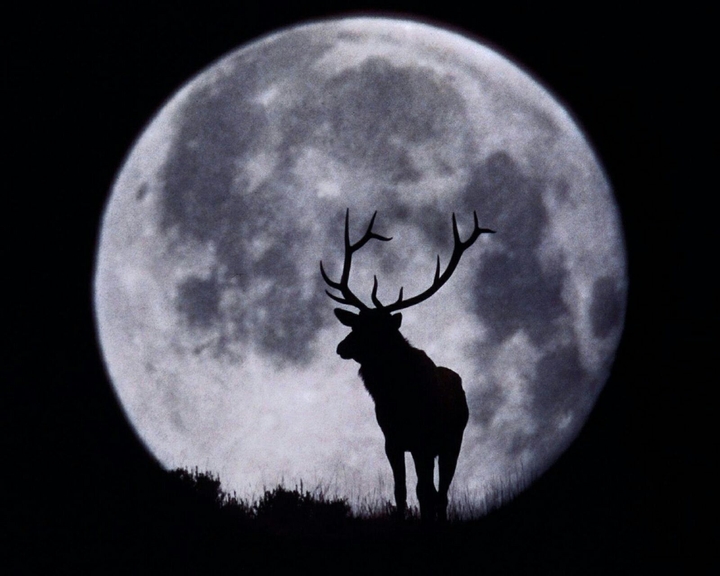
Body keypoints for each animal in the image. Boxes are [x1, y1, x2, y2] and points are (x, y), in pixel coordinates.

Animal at [320, 209, 494, 521]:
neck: (397, 397)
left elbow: (424, 492)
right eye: (355, 324)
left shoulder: (424, 440)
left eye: (376, 329)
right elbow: (400, 491)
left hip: (452, 442)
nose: (341, 347)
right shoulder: (393, 440)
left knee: (441, 493)